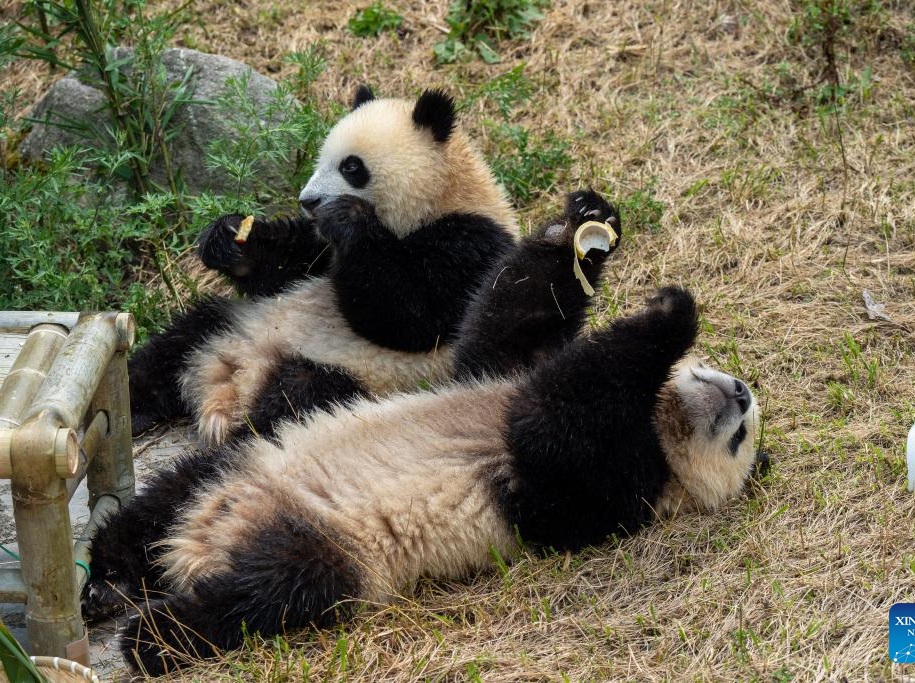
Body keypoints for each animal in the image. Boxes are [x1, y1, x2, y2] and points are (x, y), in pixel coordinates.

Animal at [102, 206, 764, 676]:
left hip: (327, 550)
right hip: (245, 459)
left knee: (262, 595)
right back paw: (105, 580)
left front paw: (669, 316)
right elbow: (502, 326)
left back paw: (152, 636)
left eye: (739, 440)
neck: (660, 428)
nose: (740, 393)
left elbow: (549, 427)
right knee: (158, 500)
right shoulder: (490, 371)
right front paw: (582, 229)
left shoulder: (599, 495)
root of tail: (206, 539)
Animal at [128, 85, 519, 444]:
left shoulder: (474, 247)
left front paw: (348, 218)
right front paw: (228, 238)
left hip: (353, 376)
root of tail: (230, 384)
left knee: (290, 404)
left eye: (351, 166)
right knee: (176, 342)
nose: (308, 201)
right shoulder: (318, 250)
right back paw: (133, 408)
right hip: (235, 322)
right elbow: (285, 267)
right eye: (321, 159)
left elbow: (410, 317)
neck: (444, 197)